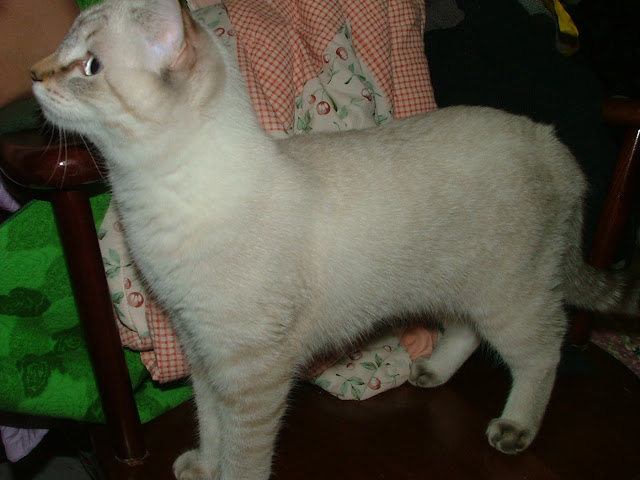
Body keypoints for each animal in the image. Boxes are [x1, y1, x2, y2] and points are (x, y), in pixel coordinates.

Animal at [31, 0, 639, 478]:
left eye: (89, 65)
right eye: (60, 49)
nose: (34, 75)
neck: (147, 199)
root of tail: (550, 140)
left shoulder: (250, 372)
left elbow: (244, 455)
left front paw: (225, 475)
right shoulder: (203, 353)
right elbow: (211, 428)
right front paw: (203, 467)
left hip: (507, 294)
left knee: (544, 349)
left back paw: (514, 427)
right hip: (456, 282)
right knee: (465, 328)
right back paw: (431, 371)